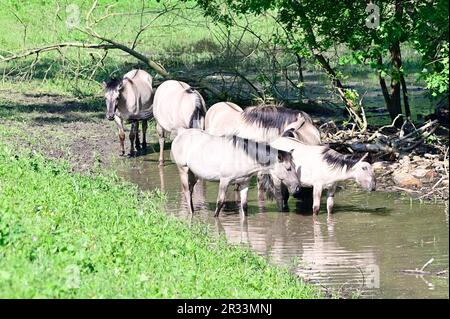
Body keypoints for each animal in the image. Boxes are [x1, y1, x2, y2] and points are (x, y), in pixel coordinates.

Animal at [171, 129, 300, 218]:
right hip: (183, 169)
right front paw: (215, 218)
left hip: (195, 174)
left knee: (190, 190)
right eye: (288, 168)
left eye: (294, 166)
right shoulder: (224, 181)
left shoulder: (244, 183)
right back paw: (191, 212)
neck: (242, 158)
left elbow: (244, 205)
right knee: (187, 191)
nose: (297, 188)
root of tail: (179, 136)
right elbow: (220, 202)